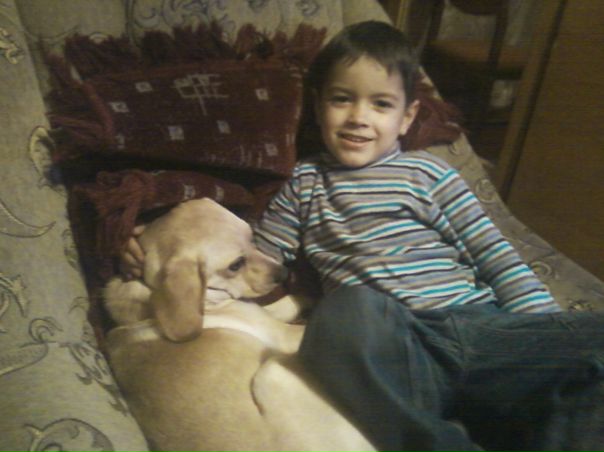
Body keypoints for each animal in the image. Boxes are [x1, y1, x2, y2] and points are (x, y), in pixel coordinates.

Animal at [103, 198, 376, 452]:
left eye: (252, 237)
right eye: (235, 265)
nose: (284, 274)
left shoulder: (258, 311)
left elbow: (287, 301)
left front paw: (307, 295)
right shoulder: (277, 332)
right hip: (274, 370)